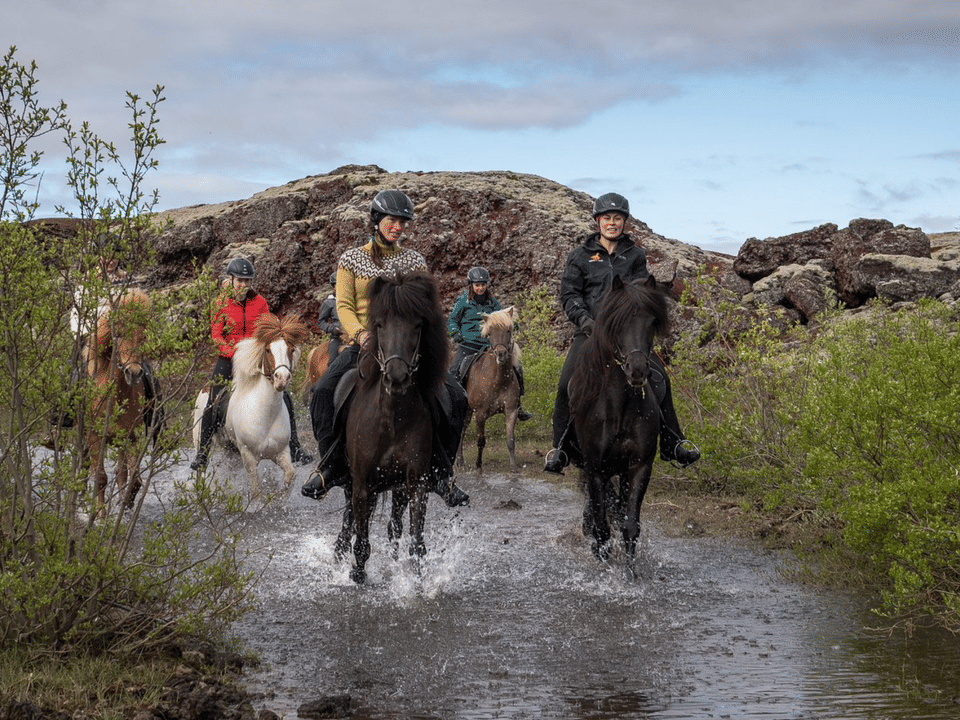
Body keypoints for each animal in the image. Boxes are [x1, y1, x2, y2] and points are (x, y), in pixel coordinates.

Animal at [84, 286, 160, 513]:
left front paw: (126, 502)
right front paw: (100, 515)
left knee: (121, 472)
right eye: (118, 333)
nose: (133, 372)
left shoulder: (131, 437)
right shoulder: (95, 438)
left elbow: (133, 478)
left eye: (143, 336)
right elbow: (100, 477)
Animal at [343, 271, 450, 584]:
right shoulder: (362, 484)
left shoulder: (416, 483)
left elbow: (416, 541)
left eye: (418, 325)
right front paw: (357, 575)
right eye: (379, 324)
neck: (392, 420)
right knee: (348, 523)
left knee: (394, 528)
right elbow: (362, 542)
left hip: (397, 488)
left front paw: (415, 580)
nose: (397, 377)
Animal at [456, 306, 522, 474]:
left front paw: (514, 468)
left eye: (508, 330)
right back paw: (460, 461)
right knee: (461, 432)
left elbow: (510, 440)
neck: (498, 380)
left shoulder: (511, 411)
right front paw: (478, 466)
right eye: (489, 333)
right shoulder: (480, 414)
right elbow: (481, 441)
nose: (501, 354)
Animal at [567, 275, 671, 563]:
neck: (620, 409)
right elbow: (603, 527)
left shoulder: (639, 466)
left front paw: (630, 570)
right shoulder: (595, 468)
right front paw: (604, 563)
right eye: (618, 322)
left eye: (652, 322)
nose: (637, 370)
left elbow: (630, 525)